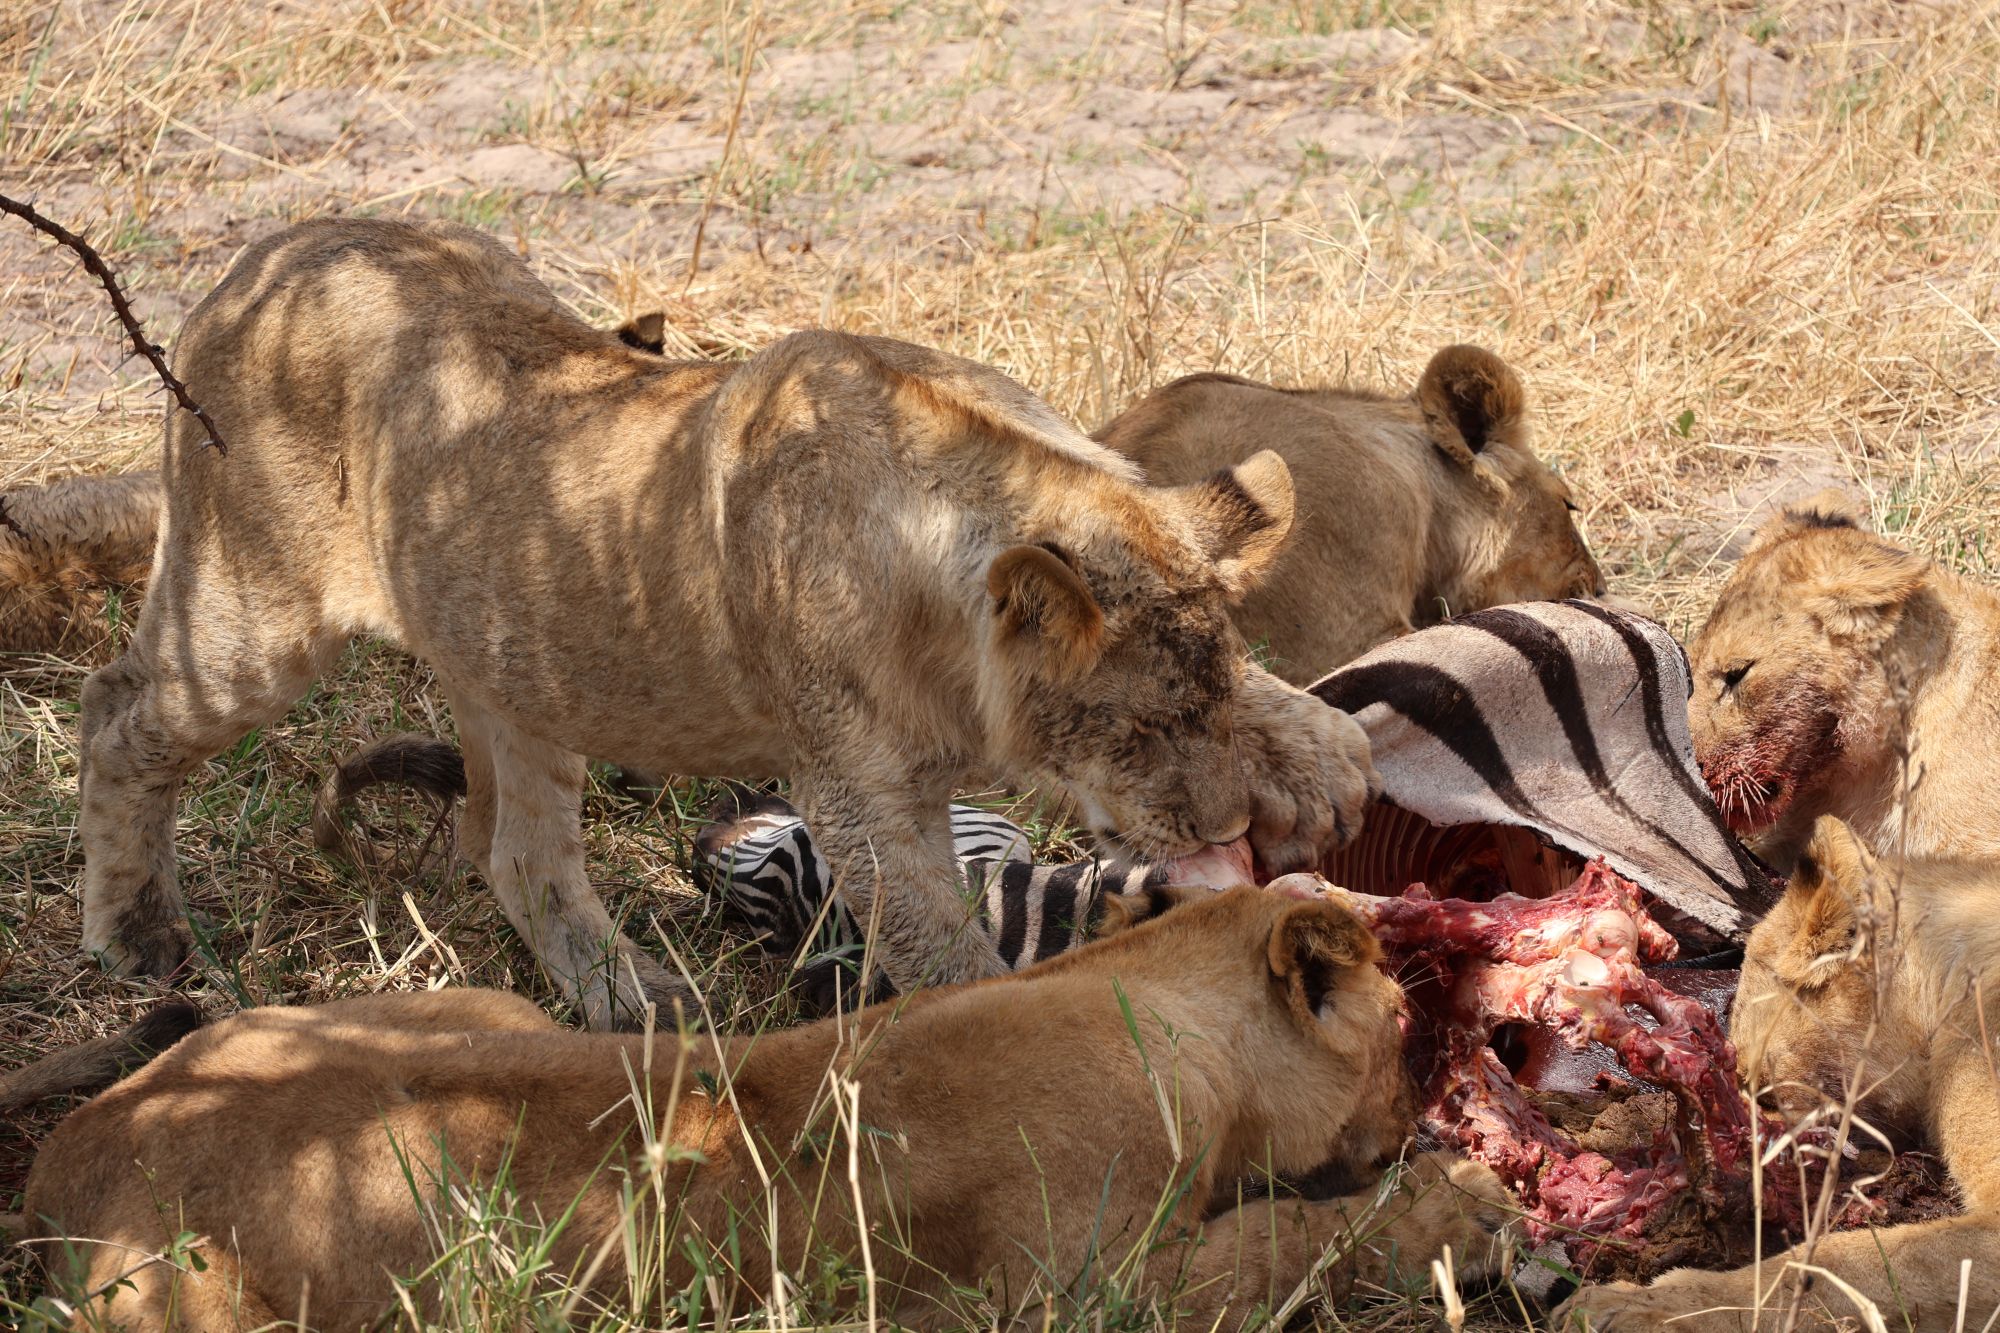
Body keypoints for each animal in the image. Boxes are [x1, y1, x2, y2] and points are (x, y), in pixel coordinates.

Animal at [18, 886, 1514, 1332]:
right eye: (1402, 1027)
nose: (1434, 1094)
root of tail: (70, 1151)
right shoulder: (1085, 1296)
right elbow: (1289, 1239)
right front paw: (1465, 1205)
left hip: (492, 1011)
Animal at [78, 216, 1373, 1030]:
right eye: (1135, 732)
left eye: (1203, 709)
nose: (1219, 827)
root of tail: (266, 253)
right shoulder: (855, 800)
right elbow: (943, 951)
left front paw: (1324, 760)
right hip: (251, 618)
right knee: (116, 713)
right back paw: (136, 937)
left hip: (517, 659)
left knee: (515, 846)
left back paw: (632, 999)